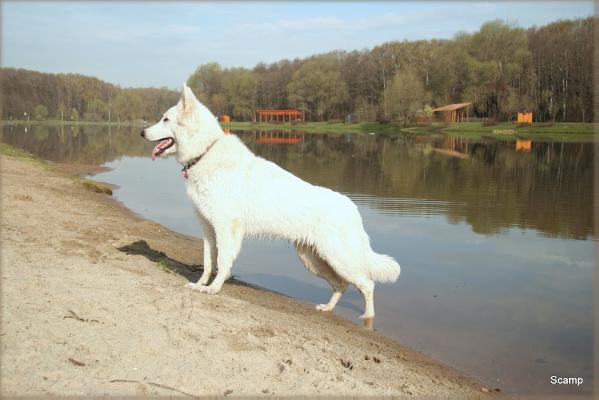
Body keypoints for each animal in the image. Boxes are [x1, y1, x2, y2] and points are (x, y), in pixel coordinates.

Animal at [142, 84, 400, 318]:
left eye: (165, 119)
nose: (142, 132)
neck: (205, 152)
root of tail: (353, 208)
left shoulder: (226, 230)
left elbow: (222, 262)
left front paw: (214, 289)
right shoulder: (208, 230)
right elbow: (207, 262)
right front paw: (200, 285)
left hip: (339, 258)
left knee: (367, 285)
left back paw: (367, 318)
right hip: (314, 259)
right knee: (342, 285)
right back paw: (328, 308)